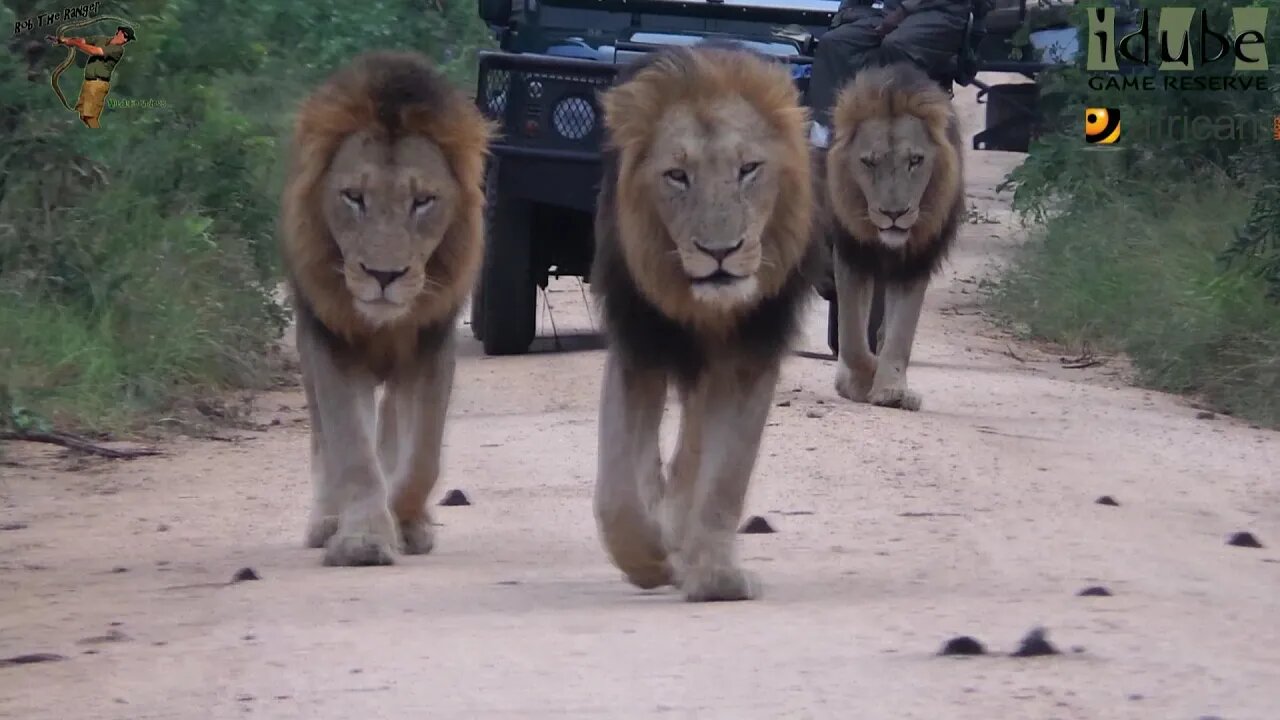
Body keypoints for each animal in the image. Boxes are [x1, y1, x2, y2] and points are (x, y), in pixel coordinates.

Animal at [277, 50, 491, 566]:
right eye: (354, 197)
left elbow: (422, 457)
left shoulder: (431, 347)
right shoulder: (330, 345)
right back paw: (328, 520)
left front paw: (406, 521)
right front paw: (362, 540)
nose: (383, 275)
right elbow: (352, 451)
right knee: (325, 440)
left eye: (423, 201)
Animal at [588, 41, 808, 597]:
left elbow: (726, 474)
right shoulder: (638, 343)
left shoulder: (751, 354)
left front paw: (715, 578)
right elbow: (617, 489)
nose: (720, 252)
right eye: (677, 175)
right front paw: (649, 559)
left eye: (749, 169)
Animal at [808, 58, 967, 409]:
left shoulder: (915, 263)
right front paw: (857, 381)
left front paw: (891, 390)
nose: (895, 214)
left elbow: (900, 333)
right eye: (869, 162)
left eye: (916, 160)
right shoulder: (852, 255)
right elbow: (852, 338)